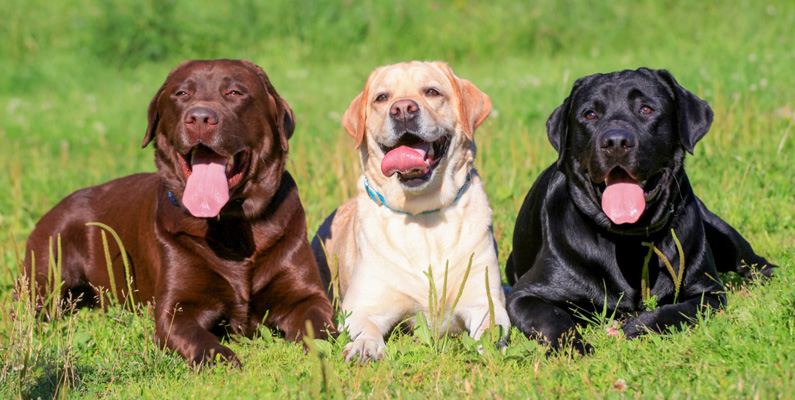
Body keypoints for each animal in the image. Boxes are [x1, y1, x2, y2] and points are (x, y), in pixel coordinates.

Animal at [510, 68, 776, 354]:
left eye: (646, 109)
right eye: (589, 114)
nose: (616, 142)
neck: (629, 242)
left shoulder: (707, 292)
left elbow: (673, 311)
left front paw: (637, 326)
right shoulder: (524, 295)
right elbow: (553, 317)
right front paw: (574, 348)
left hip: (721, 231)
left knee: (754, 261)